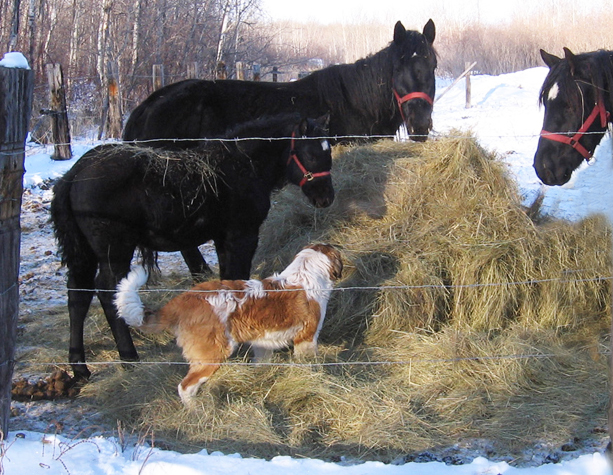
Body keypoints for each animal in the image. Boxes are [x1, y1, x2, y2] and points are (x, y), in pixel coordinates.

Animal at [49, 113, 332, 382]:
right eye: (310, 154)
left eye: (328, 151)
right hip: (115, 251)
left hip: (83, 254)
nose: (326, 198)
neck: (241, 167)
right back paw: (129, 357)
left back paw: (80, 368)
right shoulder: (242, 236)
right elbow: (237, 279)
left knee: (78, 296)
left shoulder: (222, 239)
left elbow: (226, 282)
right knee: (107, 292)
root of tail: (74, 174)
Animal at [115, 245, 342, 406]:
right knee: (185, 387)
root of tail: (184, 299)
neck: (305, 274)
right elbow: (308, 363)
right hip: (213, 355)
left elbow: (261, 364)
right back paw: (197, 411)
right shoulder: (307, 338)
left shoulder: (263, 344)